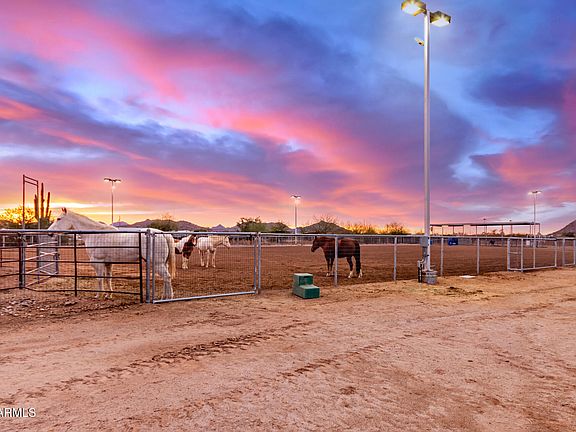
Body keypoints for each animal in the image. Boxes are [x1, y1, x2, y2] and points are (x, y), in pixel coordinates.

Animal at [48, 208, 176, 300]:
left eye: (59, 219)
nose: (49, 233)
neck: (94, 234)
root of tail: (162, 233)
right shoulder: (108, 263)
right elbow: (108, 278)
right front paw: (108, 295)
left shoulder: (97, 262)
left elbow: (100, 278)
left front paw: (98, 295)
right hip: (162, 263)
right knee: (166, 278)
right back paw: (165, 296)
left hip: (157, 263)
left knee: (167, 277)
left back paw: (167, 297)